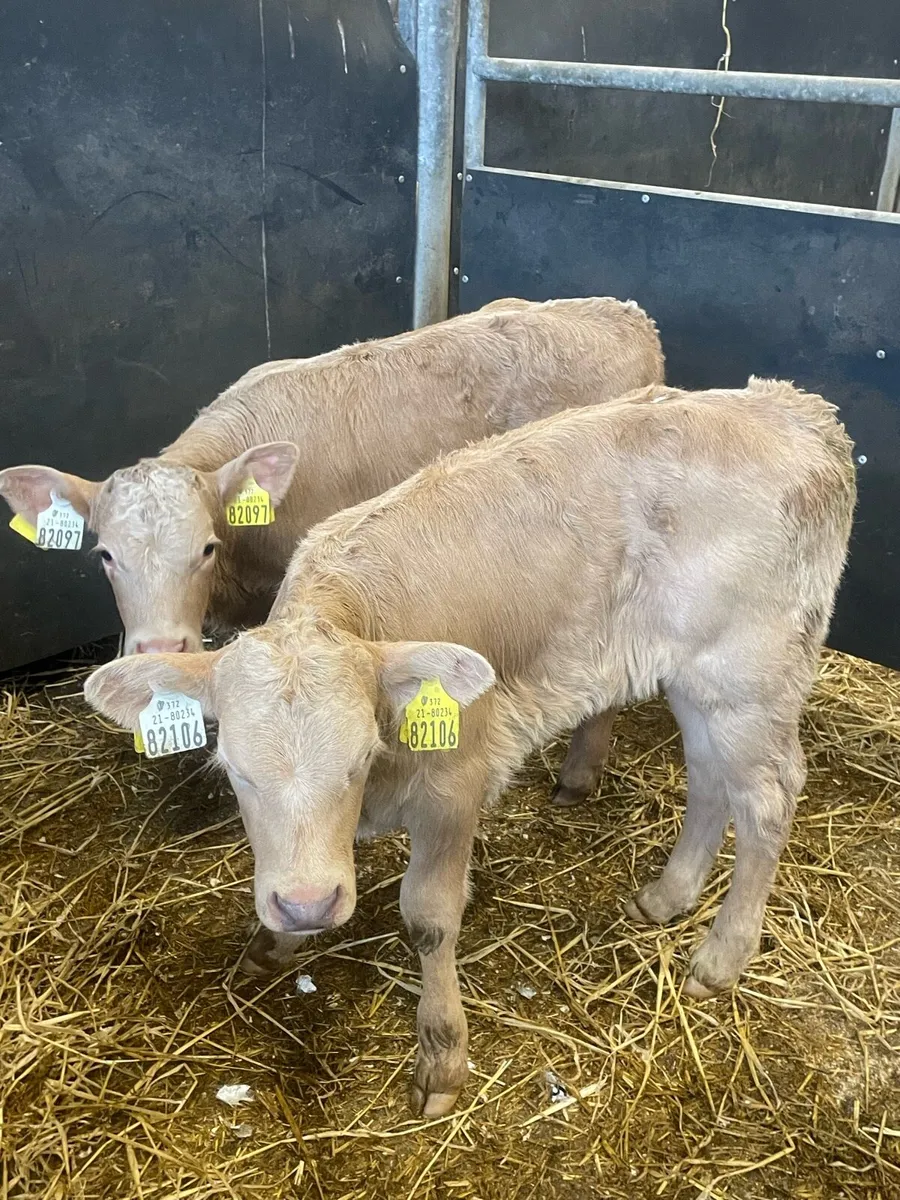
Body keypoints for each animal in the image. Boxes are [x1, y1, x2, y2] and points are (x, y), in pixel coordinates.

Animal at [83, 378, 856, 1118]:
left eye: (359, 760)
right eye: (235, 771)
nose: (306, 906)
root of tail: (794, 411)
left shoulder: (456, 782)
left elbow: (429, 917)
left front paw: (441, 1057)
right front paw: (278, 942)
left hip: (751, 674)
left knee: (767, 799)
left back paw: (721, 956)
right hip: (697, 678)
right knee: (709, 778)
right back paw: (668, 895)